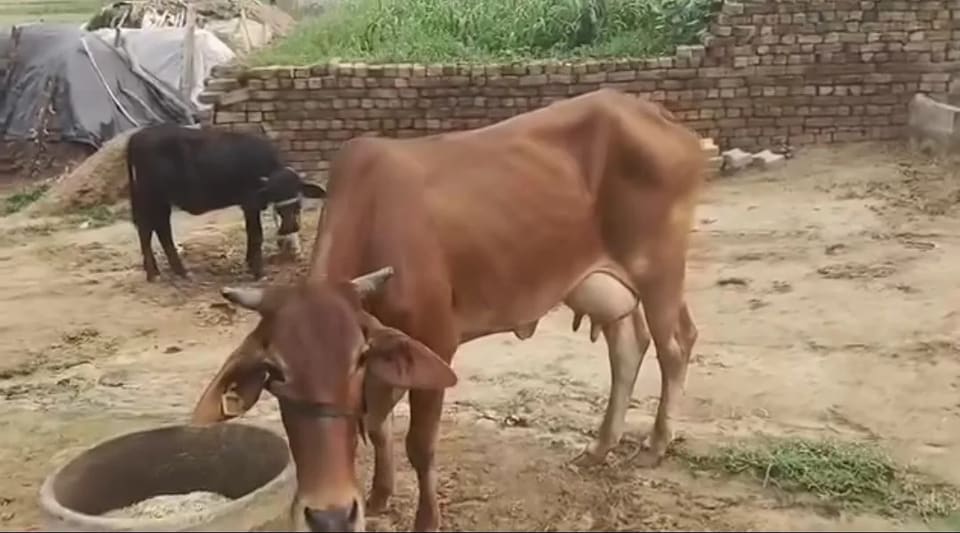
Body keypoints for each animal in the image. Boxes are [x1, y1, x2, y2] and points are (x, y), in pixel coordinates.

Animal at [126, 124, 327, 282]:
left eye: (297, 193)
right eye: (275, 193)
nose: (290, 227)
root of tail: (137, 136)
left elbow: (251, 234)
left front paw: (249, 262)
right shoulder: (250, 203)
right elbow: (256, 235)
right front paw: (258, 271)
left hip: (159, 199)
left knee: (157, 228)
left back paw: (175, 271)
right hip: (151, 196)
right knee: (148, 229)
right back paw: (156, 273)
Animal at [190, 88, 706, 532]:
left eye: (356, 360)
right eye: (275, 374)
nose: (330, 516)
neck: (374, 219)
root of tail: (658, 116)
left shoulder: (434, 340)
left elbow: (419, 444)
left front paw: (425, 519)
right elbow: (377, 426)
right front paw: (378, 496)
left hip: (659, 270)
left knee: (675, 345)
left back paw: (654, 445)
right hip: (598, 285)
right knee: (628, 347)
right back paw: (599, 447)